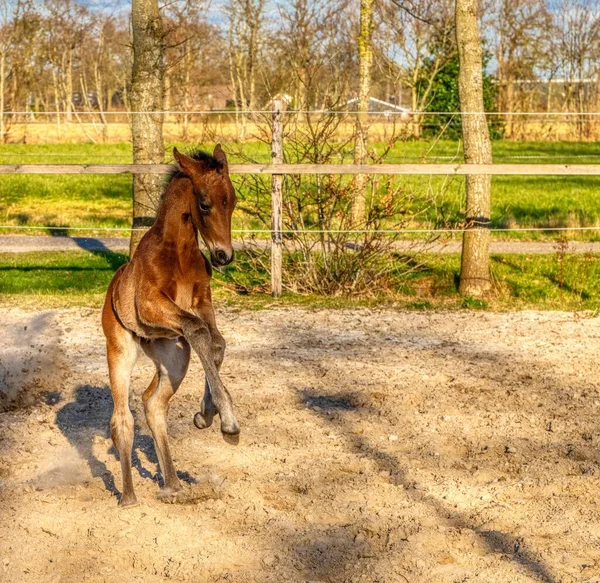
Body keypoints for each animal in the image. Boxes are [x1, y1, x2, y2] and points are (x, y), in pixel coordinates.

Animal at [102, 145, 238, 506]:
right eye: (203, 203)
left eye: (232, 200)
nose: (224, 256)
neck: (178, 252)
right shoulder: (152, 305)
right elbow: (200, 332)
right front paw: (227, 421)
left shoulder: (202, 302)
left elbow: (215, 342)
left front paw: (206, 414)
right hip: (120, 351)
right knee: (122, 419)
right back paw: (129, 497)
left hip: (174, 356)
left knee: (153, 403)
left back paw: (173, 486)